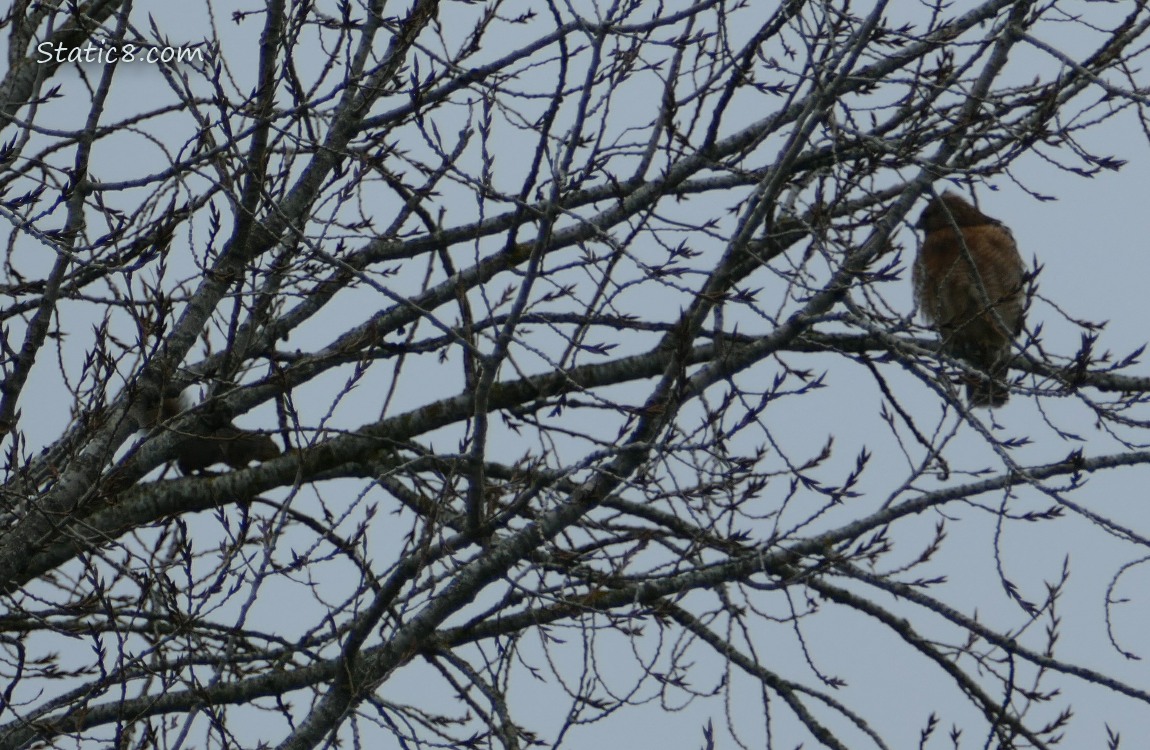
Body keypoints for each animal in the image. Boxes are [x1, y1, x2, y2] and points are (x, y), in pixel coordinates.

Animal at [131, 392, 281, 474]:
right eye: (274, 447)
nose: (280, 454)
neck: (252, 444)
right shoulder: (236, 449)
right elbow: (233, 460)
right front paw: (244, 467)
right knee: (183, 467)